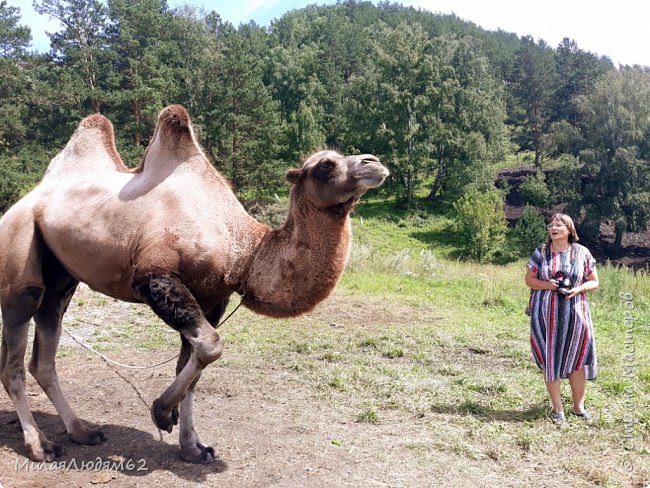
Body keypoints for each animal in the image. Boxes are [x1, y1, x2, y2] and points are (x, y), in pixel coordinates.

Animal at [0, 105, 384, 464]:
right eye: (325, 165)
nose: (374, 162)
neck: (243, 249)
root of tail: (23, 202)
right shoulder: (155, 277)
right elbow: (211, 347)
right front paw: (160, 412)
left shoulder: (212, 297)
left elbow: (193, 363)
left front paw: (192, 447)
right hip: (20, 259)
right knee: (14, 361)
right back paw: (40, 446)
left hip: (61, 276)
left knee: (44, 353)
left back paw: (82, 431)